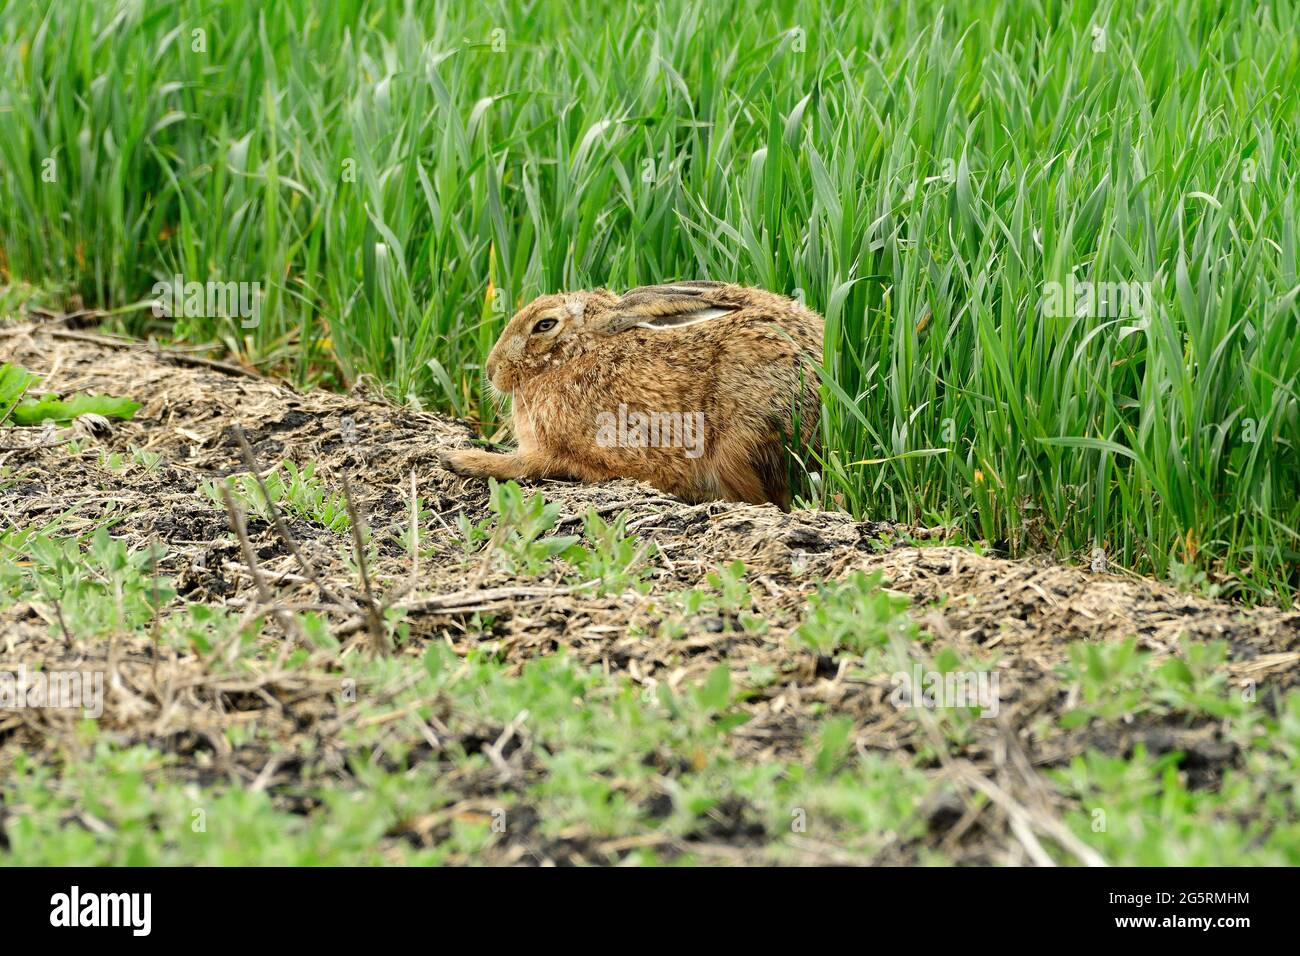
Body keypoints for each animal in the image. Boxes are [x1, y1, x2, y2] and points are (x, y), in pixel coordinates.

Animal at [438, 281, 823, 509]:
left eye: (544, 325)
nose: (492, 370)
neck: (579, 353)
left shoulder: (573, 451)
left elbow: (528, 464)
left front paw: (461, 459)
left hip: (743, 436)